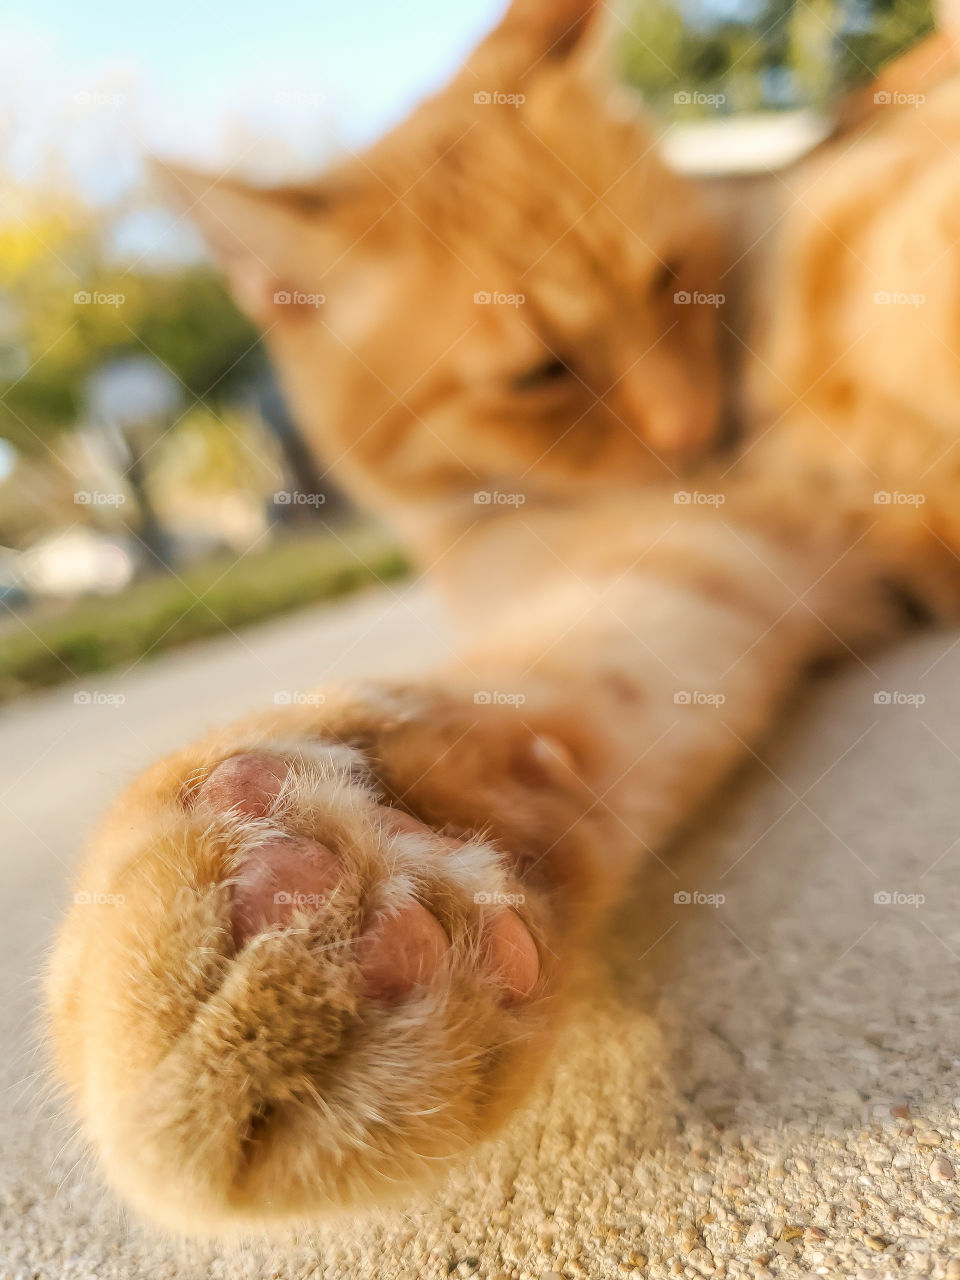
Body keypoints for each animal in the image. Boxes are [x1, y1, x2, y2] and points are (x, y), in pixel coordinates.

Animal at [48, 0, 960, 1233]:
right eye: (541, 373)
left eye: (672, 281)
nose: (691, 438)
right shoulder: (724, 562)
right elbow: (562, 698)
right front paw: (312, 903)